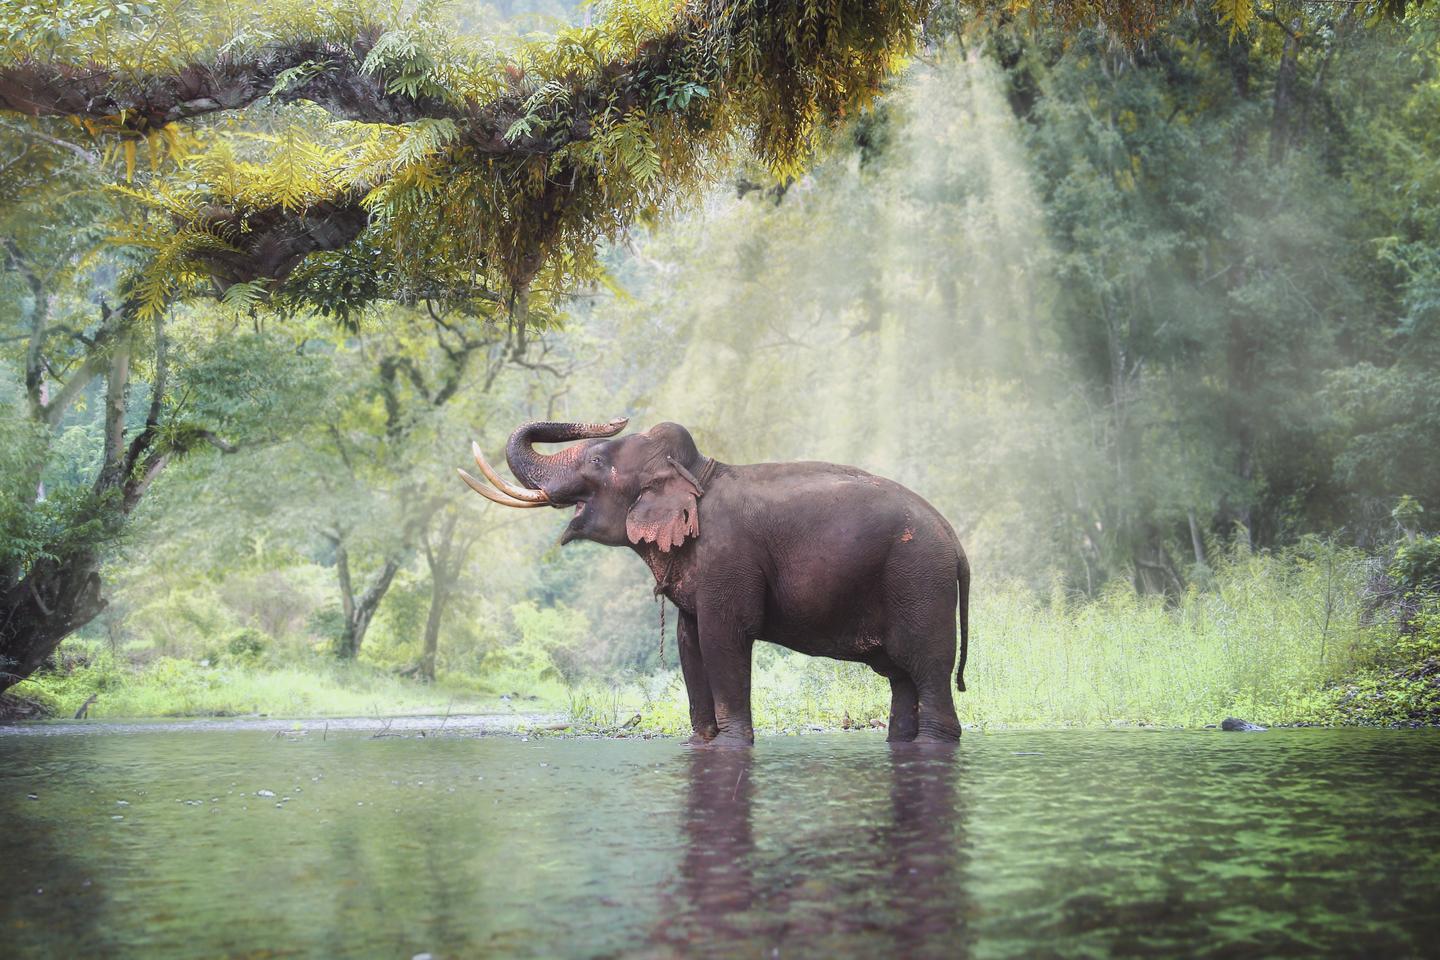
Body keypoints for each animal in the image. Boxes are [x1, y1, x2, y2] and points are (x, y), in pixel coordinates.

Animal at [458, 418, 970, 746]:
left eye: (600, 460)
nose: (616, 418)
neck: (698, 471)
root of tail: (955, 542)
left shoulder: (729, 558)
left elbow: (725, 637)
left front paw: (731, 745)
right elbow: (690, 642)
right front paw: (701, 742)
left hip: (920, 582)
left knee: (927, 671)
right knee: (902, 679)